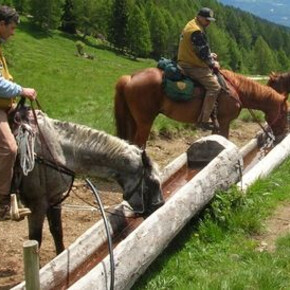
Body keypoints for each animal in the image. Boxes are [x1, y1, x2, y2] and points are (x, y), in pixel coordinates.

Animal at [114, 68, 288, 147]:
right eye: (286, 113)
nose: (284, 135)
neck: (236, 90)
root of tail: (131, 78)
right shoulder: (225, 122)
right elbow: (225, 138)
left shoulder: (218, 123)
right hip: (145, 121)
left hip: (132, 120)